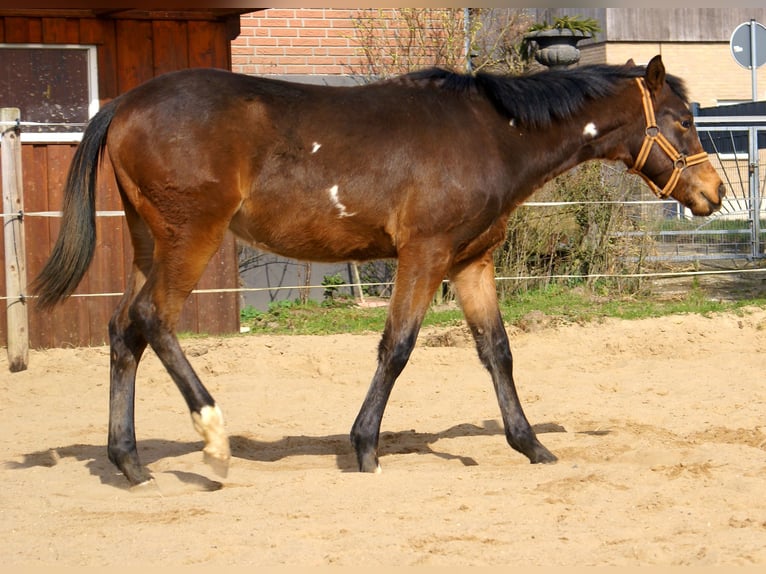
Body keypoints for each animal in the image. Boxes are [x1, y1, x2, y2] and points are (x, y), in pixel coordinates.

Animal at [31, 55, 725, 486]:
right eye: (684, 121)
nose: (714, 193)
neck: (492, 135)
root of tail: (124, 103)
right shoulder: (424, 254)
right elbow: (397, 348)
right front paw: (364, 449)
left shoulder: (470, 262)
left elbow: (496, 350)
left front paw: (531, 445)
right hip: (190, 238)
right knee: (155, 320)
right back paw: (214, 438)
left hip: (149, 242)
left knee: (124, 330)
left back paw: (129, 462)